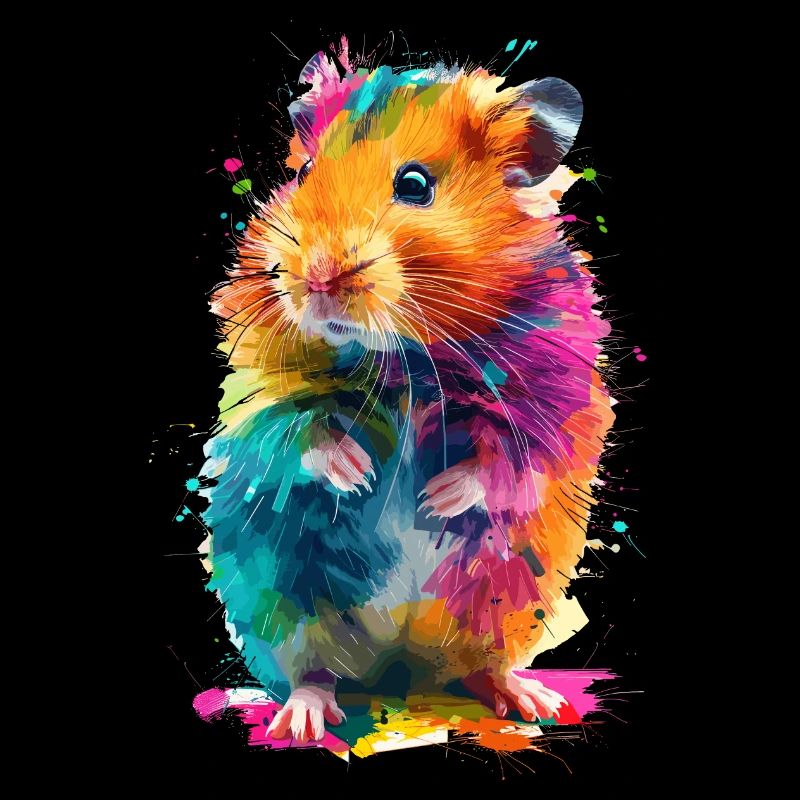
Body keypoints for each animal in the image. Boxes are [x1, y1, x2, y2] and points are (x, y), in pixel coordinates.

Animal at [198, 42, 614, 744]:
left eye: (415, 185)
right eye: (304, 172)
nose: (317, 280)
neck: (406, 357)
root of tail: (399, 664)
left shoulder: (558, 398)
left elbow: (509, 461)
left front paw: (437, 497)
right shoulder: (257, 385)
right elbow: (294, 430)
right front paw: (360, 472)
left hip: (506, 599)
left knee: (480, 666)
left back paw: (532, 699)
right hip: (283, 597)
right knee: (313, 669)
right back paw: (303, 718)